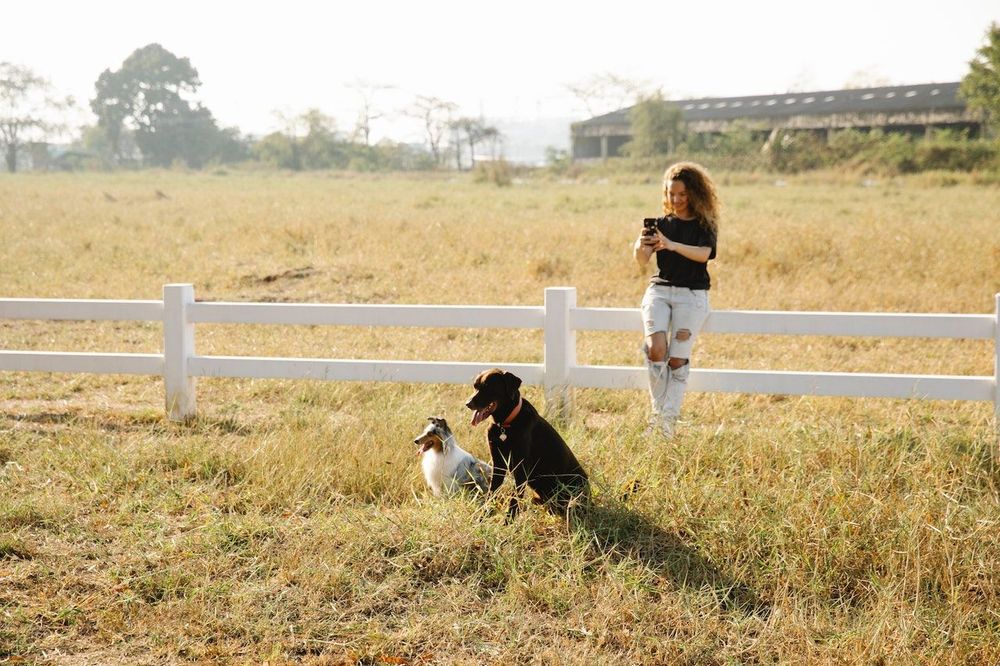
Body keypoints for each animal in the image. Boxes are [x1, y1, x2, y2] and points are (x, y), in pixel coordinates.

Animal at [466, 366, 588, 516]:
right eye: (475, 386)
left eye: (488, 387)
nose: (468, 404)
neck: (505, 425)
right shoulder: (498, 464)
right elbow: (491, 494)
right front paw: (482, 517)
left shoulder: (521, 469)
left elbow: (513, 501)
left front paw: (508, 521)